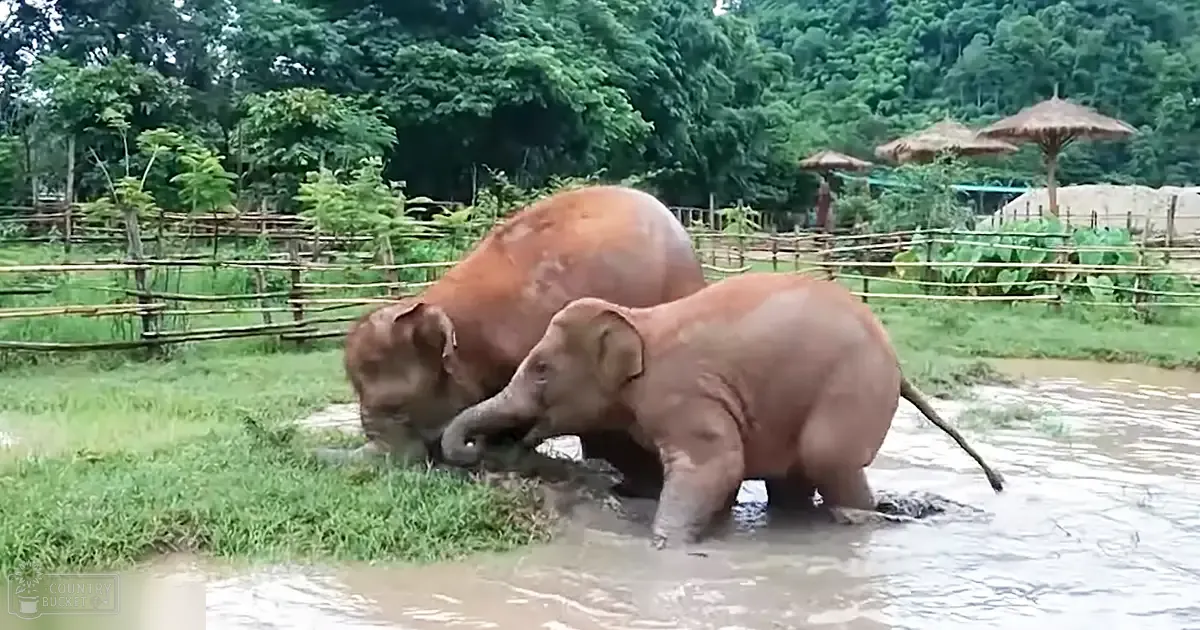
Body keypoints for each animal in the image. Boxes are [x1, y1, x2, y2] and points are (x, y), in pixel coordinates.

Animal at [439, 272, 1005, 548]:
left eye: (540, 370)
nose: (473, 452)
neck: (638, 322)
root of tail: (897, 363)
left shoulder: (684, 395)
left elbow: (717, 464)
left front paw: (663, 546)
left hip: (852, 390)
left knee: (830, 462)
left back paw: (867, 520)